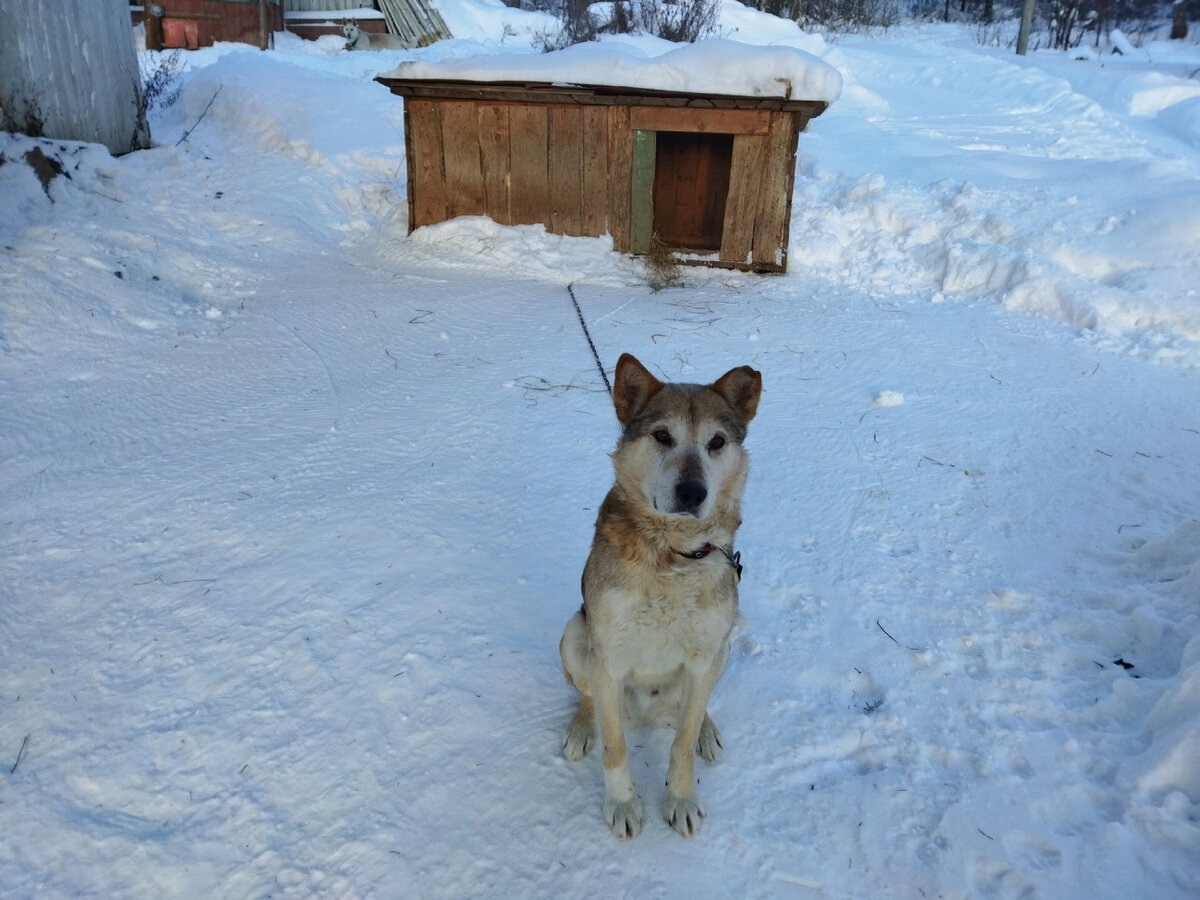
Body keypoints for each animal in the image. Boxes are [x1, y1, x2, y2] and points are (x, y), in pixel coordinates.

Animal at [559, 352, 758, 840]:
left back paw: (706, 728)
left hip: (722, 650)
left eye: (717, 442)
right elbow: (614, 747)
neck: (672, 554)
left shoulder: (705, 656)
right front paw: (622, 804)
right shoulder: (607, 658)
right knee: (588, 695)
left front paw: (680, 798)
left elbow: (681, 743)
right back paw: (581, 727)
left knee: (695, 706)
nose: (692, 491)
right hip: (576, 633)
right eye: (662, 435)